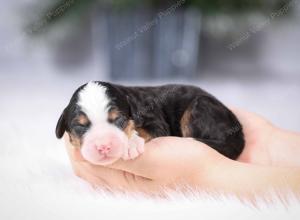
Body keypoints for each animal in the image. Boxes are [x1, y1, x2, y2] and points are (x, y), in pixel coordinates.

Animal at [55, 82, 245, 165]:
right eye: (80, 126)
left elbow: (145, 131)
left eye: (119, 120)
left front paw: (130, 144)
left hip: (200, 106)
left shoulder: (156, 121)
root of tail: (239, 132)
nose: (104, 146)